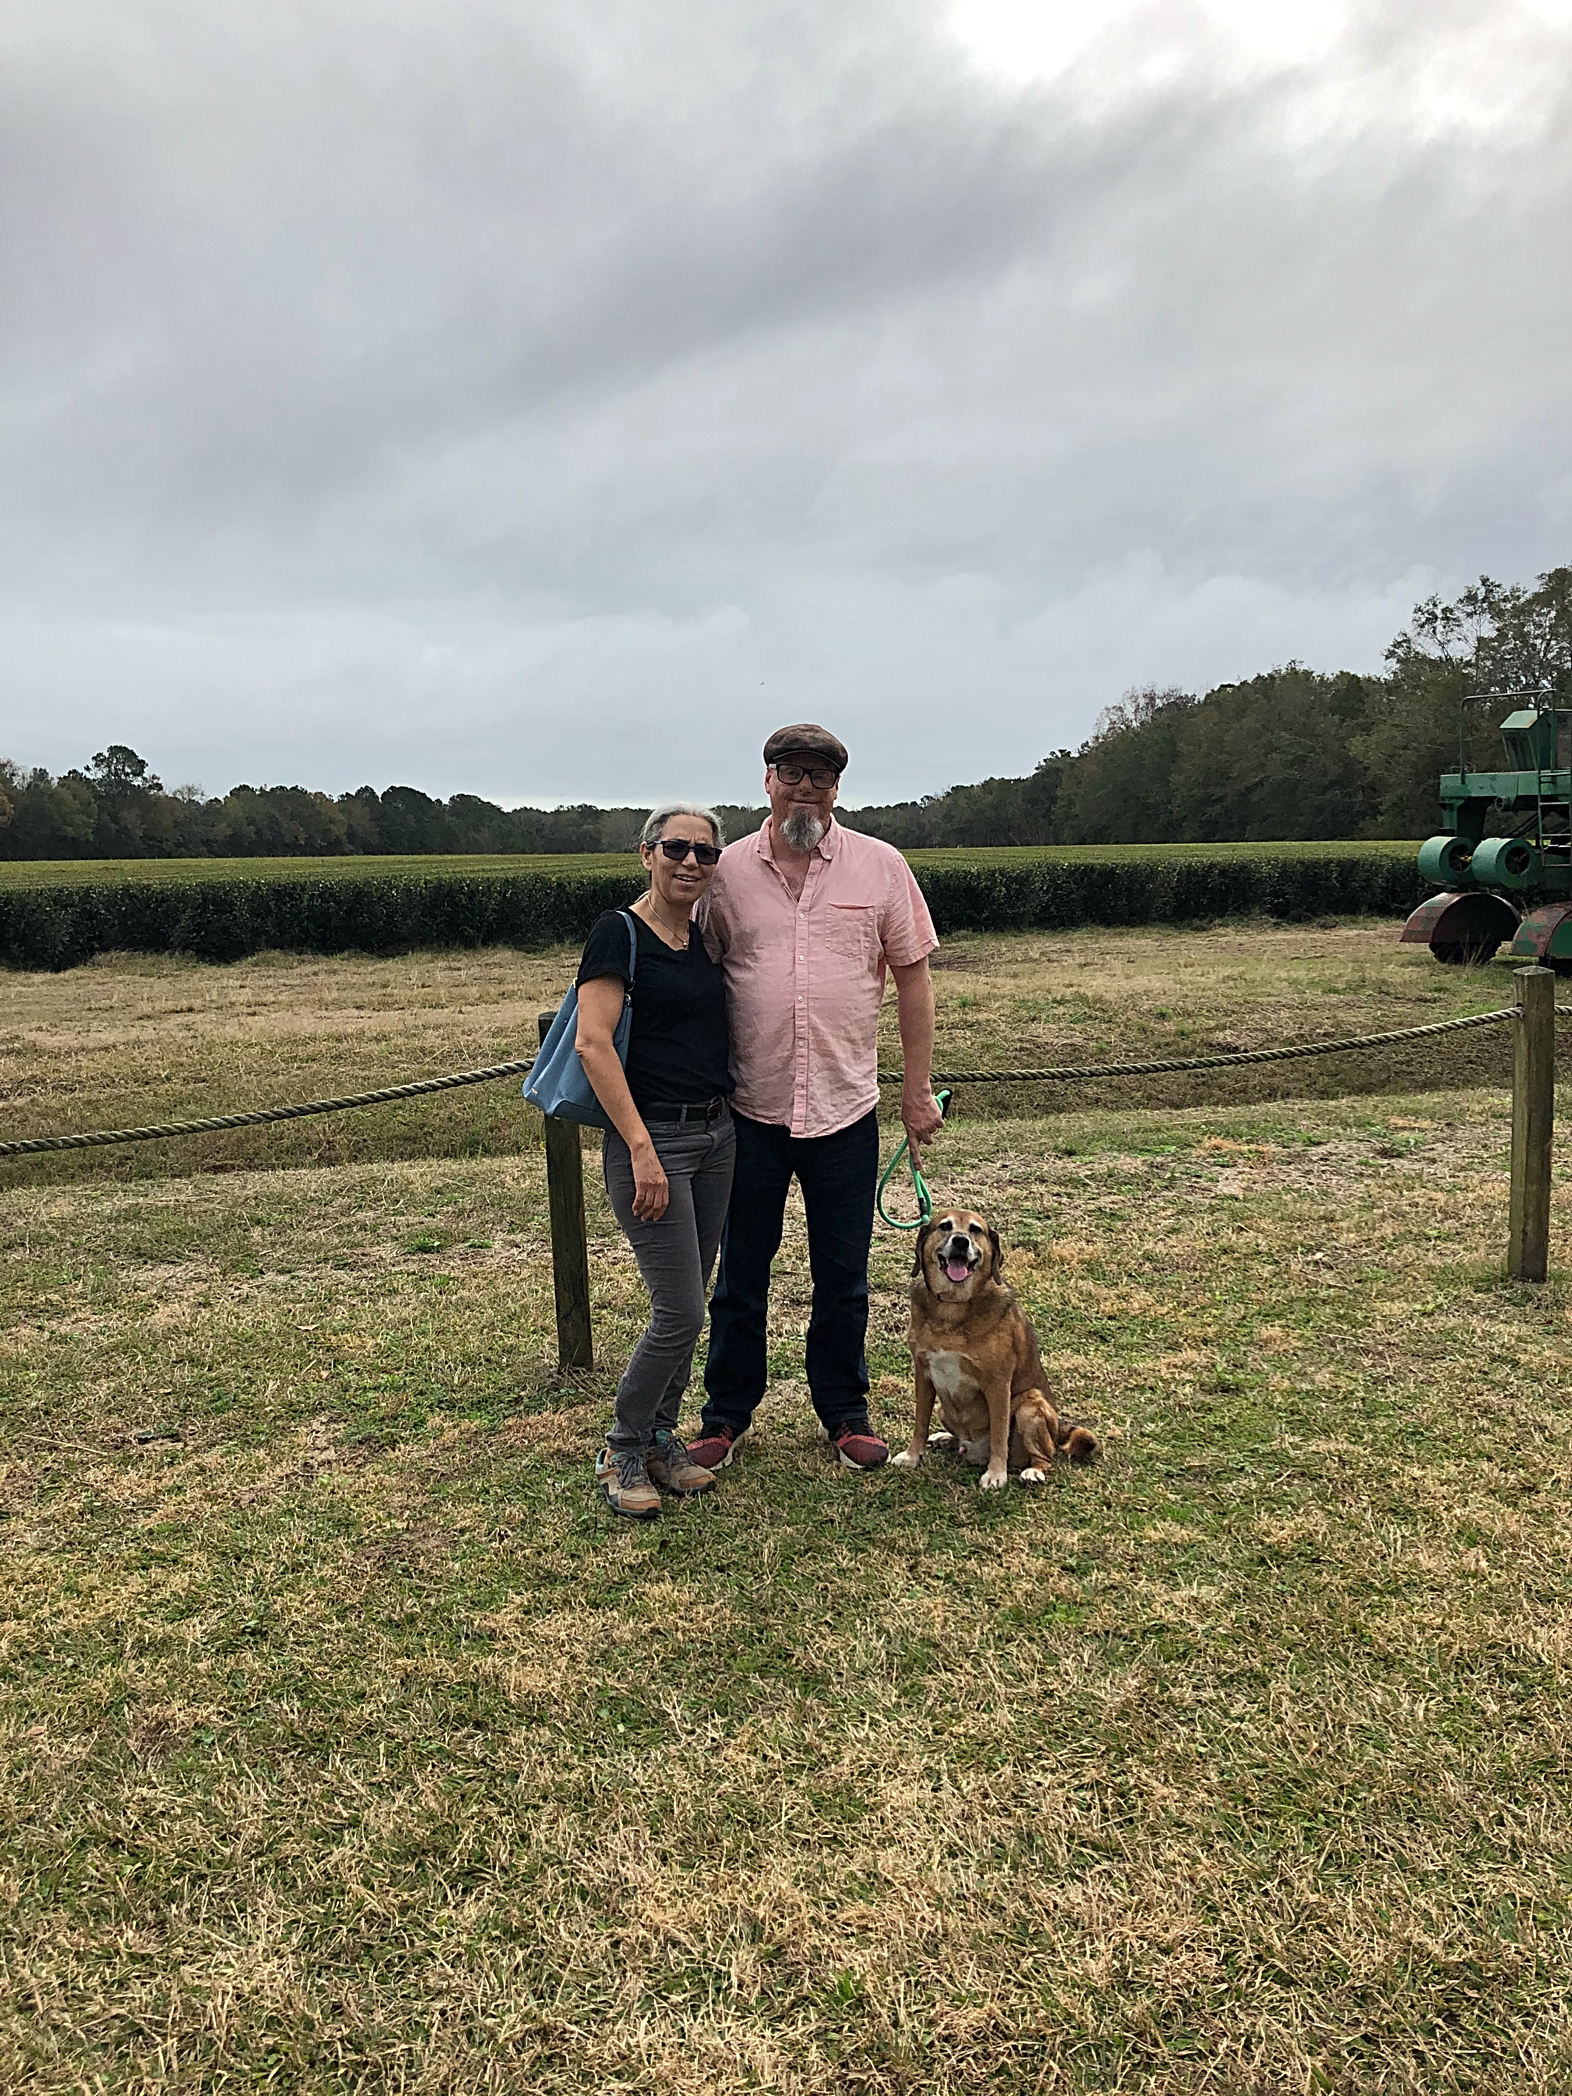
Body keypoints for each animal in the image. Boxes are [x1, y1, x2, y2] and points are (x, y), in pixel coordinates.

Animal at [891, 1209, 1098, 1490]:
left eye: (975, 1230)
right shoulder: (923, 1374)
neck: (953, 1306)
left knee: (1046, 1456)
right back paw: (947, 1438)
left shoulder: (998, 1384)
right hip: (945, 1409)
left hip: (1029, 1405)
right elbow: (920, 1422)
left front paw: (996, 1474)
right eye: (945, 1226)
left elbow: (1000, 1433)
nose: (960, 1241)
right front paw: (912, 1456)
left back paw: (1032, 1471)